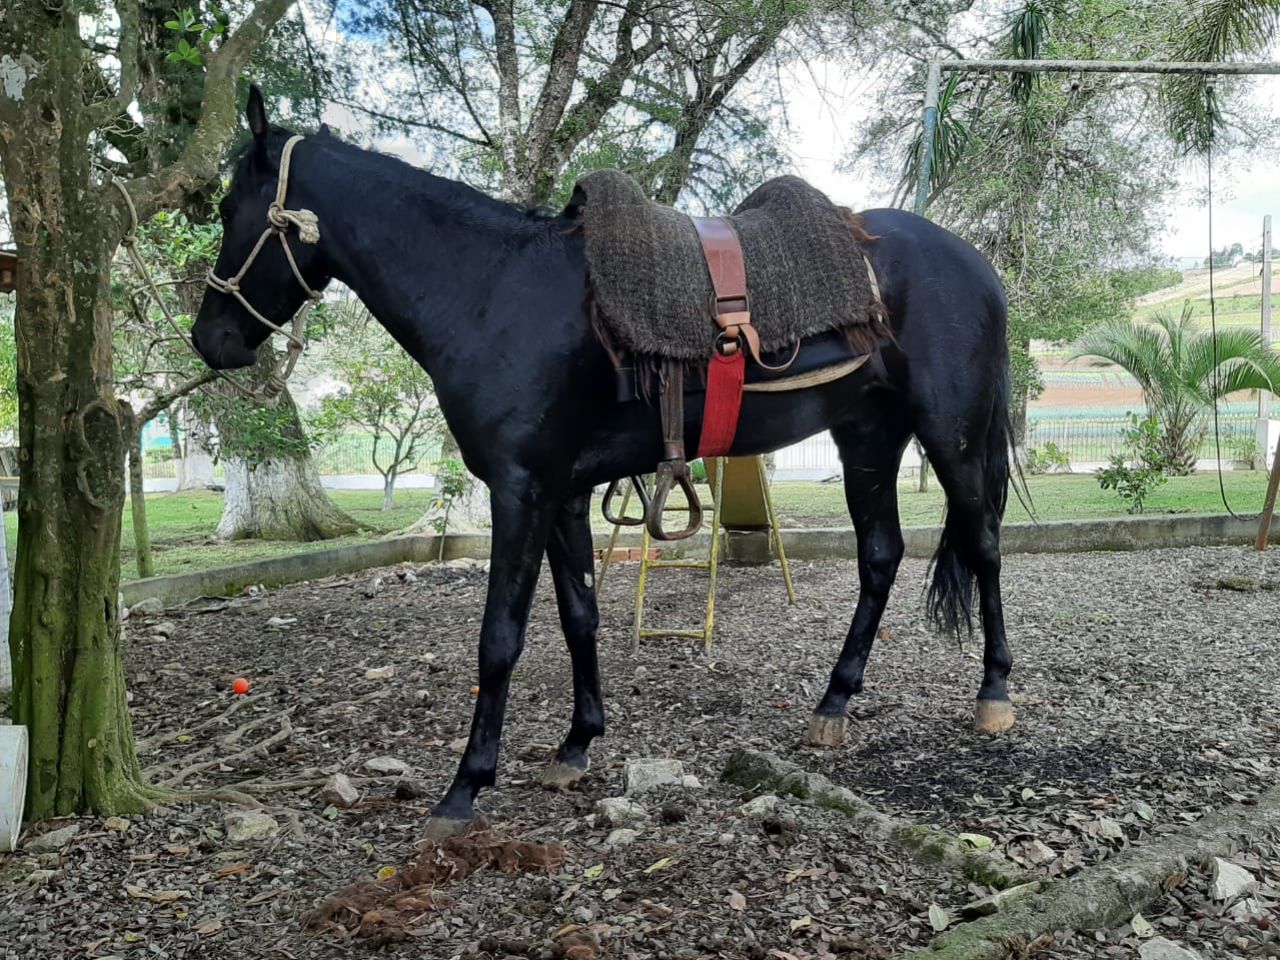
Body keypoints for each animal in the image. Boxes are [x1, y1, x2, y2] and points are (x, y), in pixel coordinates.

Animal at [191, 87, 1016, 837]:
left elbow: (500, 638)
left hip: (951, 436)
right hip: (867, 439)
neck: (492, 289)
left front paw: (466, 786)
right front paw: (577, 742)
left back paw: (995, 695)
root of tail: (974, 263)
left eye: (231, 207)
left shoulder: (521, 490)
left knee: (982, 545)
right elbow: (578, 613)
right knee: (881, 555)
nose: (211, 339)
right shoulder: (562, 492)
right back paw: (835, 701)